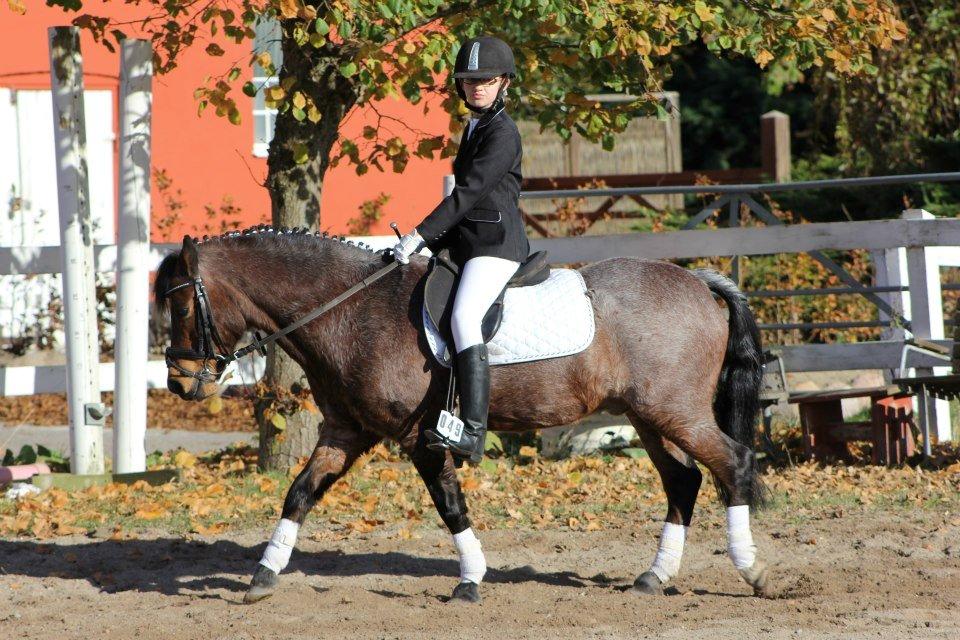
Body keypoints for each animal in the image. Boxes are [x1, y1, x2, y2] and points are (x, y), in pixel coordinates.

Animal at [158, 229, 772, 604]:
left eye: (182, 304)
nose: (179, 383)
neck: (351, 309)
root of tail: (700, 282)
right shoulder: (347, 431)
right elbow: (299, 493)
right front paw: (263, 575)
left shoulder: (419, 438)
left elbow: (450, 505)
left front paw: (471, 581)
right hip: (649, 416)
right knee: (685, 481)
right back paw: (654, 577)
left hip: (676, 412)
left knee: (734, 465)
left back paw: (754, 571)